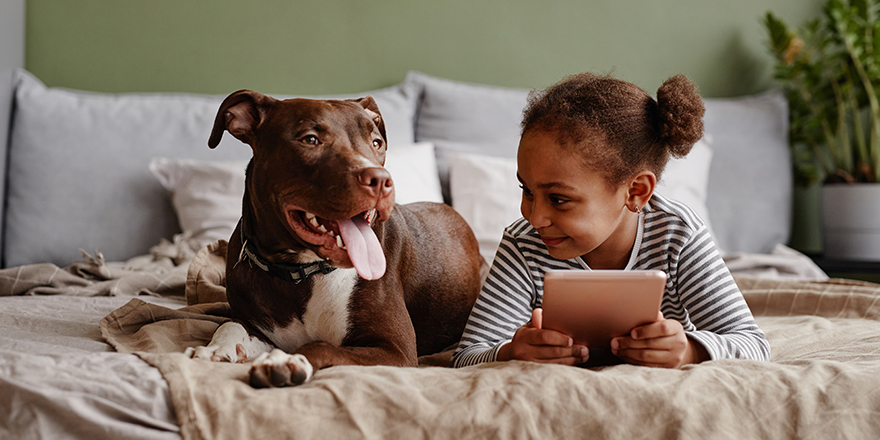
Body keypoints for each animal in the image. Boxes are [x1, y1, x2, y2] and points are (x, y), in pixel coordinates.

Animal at [187, 91, 482, 386]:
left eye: (377, 143)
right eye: (310, 140)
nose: (381, 180)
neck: (298, 273)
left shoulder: (396, 350)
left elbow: (322, 345)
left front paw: (287, 360)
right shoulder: (257, 326)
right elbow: (230, 324)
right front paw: (216, 349)